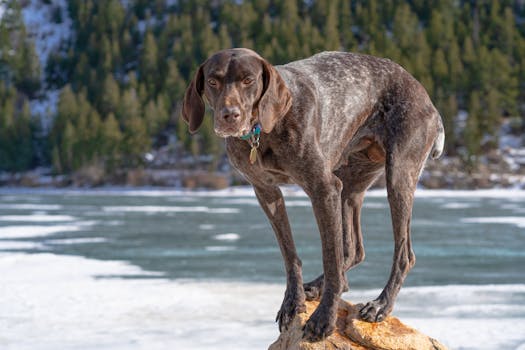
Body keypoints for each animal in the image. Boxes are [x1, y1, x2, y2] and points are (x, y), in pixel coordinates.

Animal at [180, 48, 442, 342]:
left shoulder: (323, 188)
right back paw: (318, 286)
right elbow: (290, 254)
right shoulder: (266, 193)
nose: (230, 115)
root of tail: (426, 98)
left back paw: (381, 305)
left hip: (397, 177)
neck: (263, 131)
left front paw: (324, 318)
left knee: (402, 254)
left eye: (248, 80)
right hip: (349, 184)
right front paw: (292, 302)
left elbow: (330, 257)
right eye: (213, 81)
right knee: (353, 250)